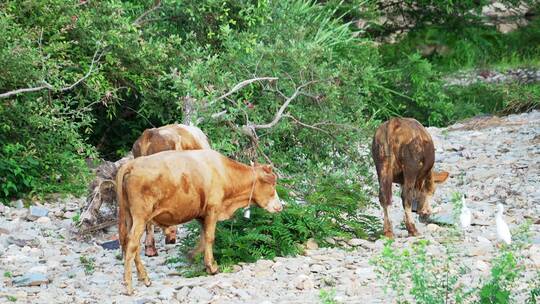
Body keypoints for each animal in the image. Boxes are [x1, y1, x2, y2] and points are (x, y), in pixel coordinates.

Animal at [116, 150, 284, 294]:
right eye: (272, 183)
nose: (280, 206)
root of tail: (132, 164)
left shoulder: (201, 215)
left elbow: (203, 238)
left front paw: (193, 256)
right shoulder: (213, 210)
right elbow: (210, 238)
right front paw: (212, 267)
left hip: (130, 217)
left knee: (130, 244)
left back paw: (144, 278)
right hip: (140, 216)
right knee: (132, 245)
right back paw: (129, 286)